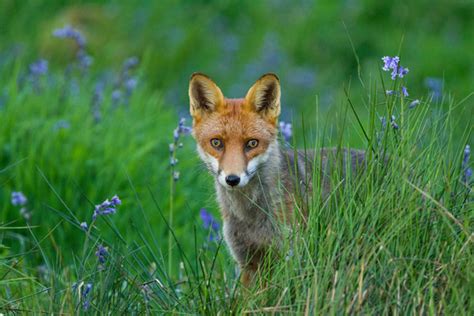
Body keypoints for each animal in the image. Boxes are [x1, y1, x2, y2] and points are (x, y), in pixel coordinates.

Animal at [187, 73, 364, 286]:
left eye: (252, 143)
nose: (232, 179)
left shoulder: (291, 254)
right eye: (216, 143)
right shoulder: (248, 263)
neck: (250, 217)